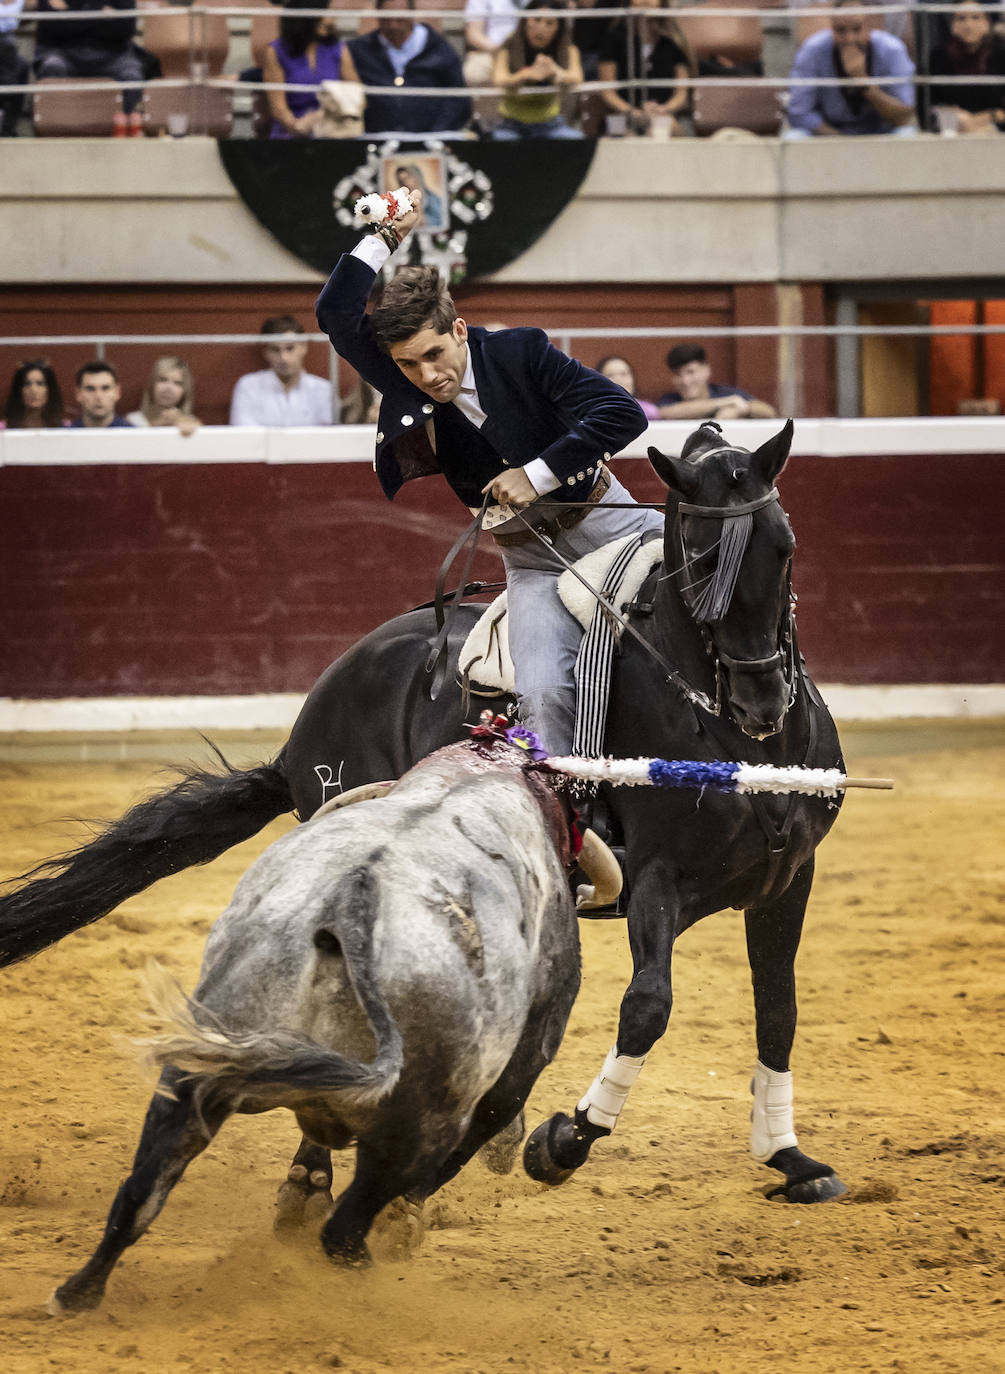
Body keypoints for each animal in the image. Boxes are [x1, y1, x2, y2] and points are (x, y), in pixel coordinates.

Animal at [0, 420, 846, 1214]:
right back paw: (314, 1178)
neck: (727, 738)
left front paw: (789, 1158)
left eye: (784, 548)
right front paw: (564, 1141)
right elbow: (647, 1009)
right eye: (698, 561)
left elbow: (779, 1010)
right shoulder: (657, 883)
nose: (760, 702)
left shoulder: (787, 882)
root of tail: (310, 718)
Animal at [51, 741, 582, 1308]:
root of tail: (350, 901)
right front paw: (402, 1225)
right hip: (418, 1124)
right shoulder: (520, 1059)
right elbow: (474, 1134)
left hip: (200, 1070)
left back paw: (77, 1294)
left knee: (141, 1192)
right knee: (345, 1231)